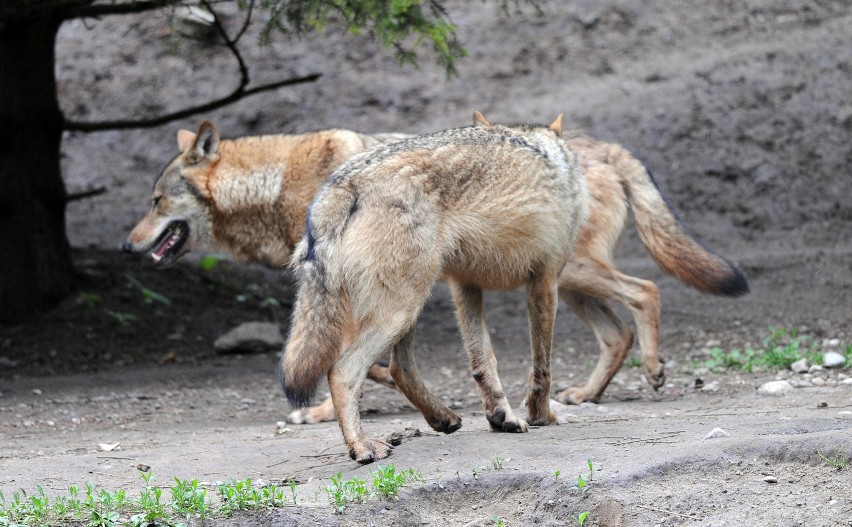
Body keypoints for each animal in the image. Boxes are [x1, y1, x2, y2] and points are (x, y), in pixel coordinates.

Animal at [282, 115, 588, 462]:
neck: (556, 156)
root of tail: (343, 184)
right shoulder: (545, 281)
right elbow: (542, 367)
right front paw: (542, 416)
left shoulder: (465, 284)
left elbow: (483, 361)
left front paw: (502, 417)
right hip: (403, 307)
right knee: (343, 372)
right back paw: (362, 447)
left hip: (407, 305)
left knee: (400, 368)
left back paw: (442, 418)